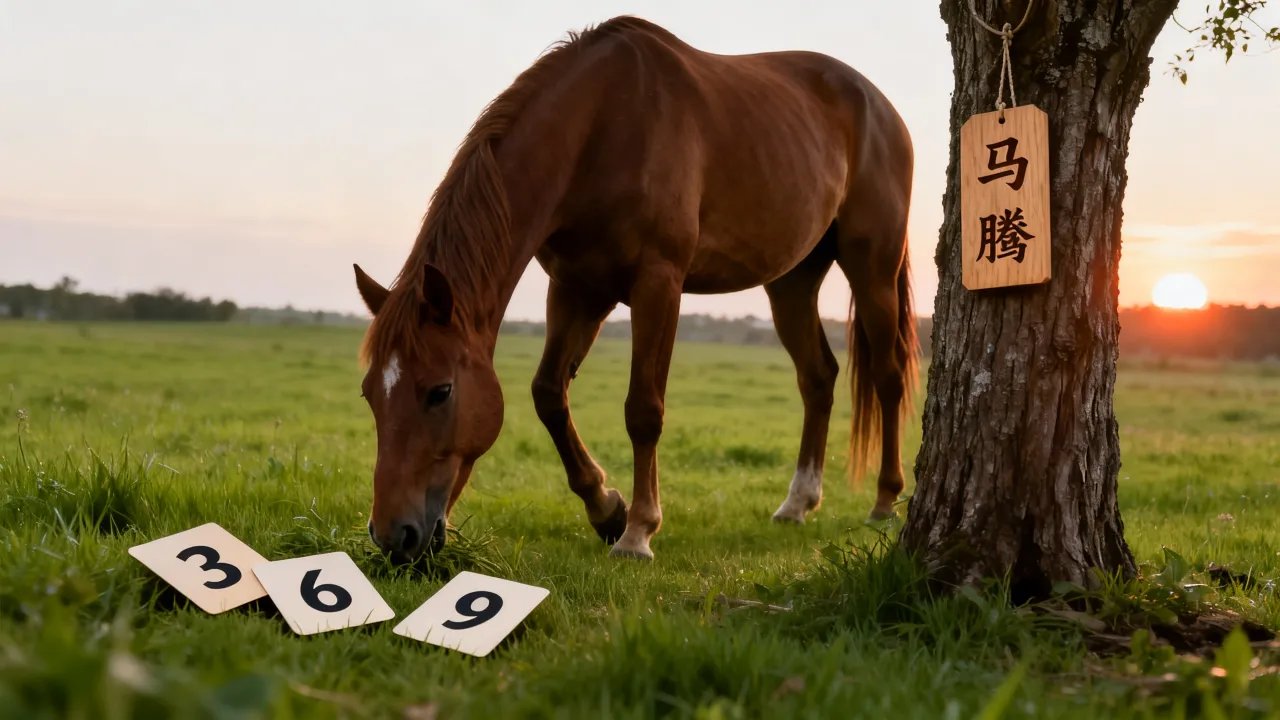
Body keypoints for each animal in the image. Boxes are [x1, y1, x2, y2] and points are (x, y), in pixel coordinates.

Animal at [352, 16, 917, 562]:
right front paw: (606, 509)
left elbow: (643, 410)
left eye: (440, 391)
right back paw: (797, 503)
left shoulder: (658, 284)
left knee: (888, 377)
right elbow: (548, 394)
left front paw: (639, 531)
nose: (393, 537)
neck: (599, 129)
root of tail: (882, 106)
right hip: (791, 282)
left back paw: (884, 501)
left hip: (872, 267)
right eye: (369, 393)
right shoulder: (576, 288)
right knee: (818, 378)